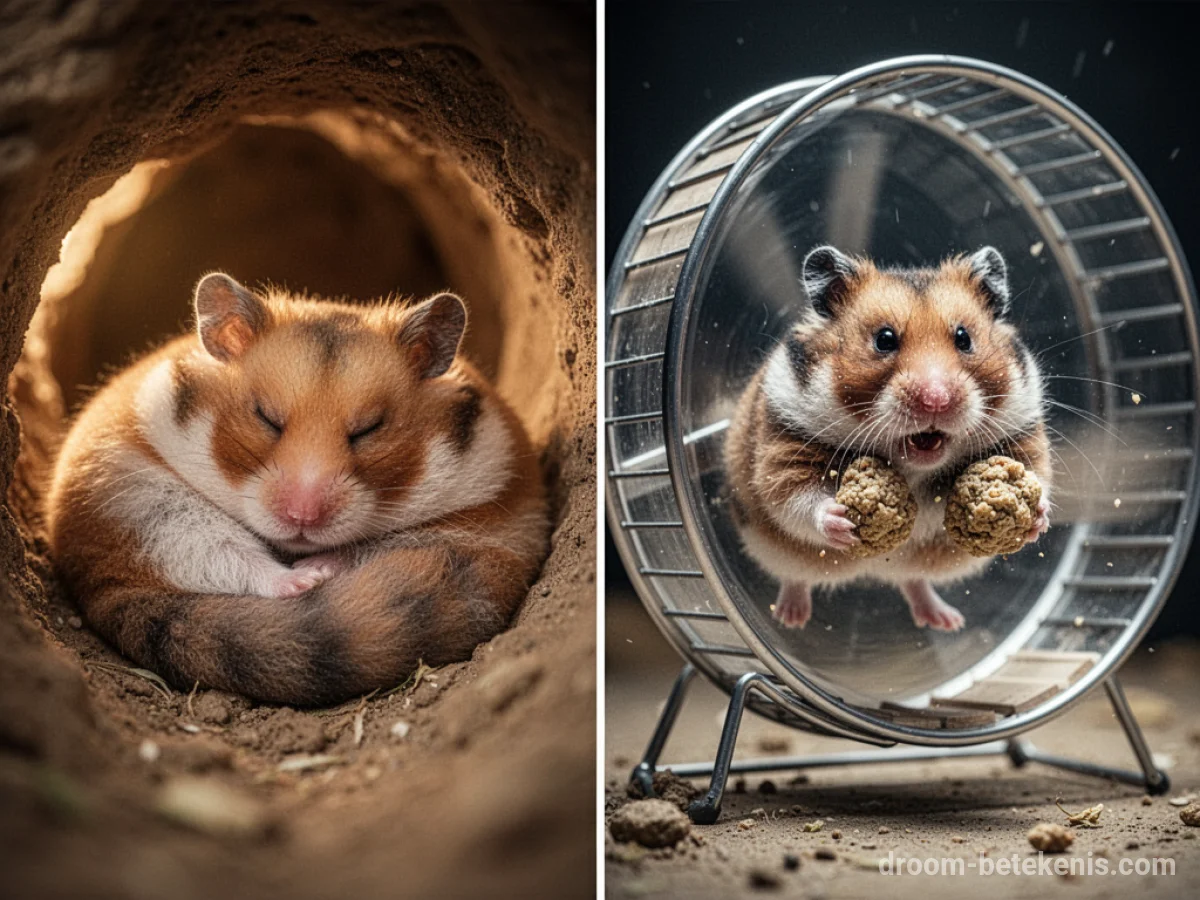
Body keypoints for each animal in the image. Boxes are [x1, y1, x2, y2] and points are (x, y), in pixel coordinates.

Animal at [46, 273, 549, 706]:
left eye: (369, 429)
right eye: (266, 417)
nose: (302, 519)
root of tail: (97, 580)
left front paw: (321, 562)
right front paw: (308, 573)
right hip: (142, 508)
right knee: (219, 557)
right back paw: (304, 578)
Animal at [725, 246, 1051, 633]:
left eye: (964, 338)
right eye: (884, 339)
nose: (936, 400)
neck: (912, 467)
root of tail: (873, 569)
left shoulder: (1023, 432)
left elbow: (1039, 478)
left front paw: (1039, 517)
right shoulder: (785, 445)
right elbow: (796, 498)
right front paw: (840, 518)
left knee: (913, 582)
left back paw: (946, 620)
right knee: (796, 578)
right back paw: (791, 618)